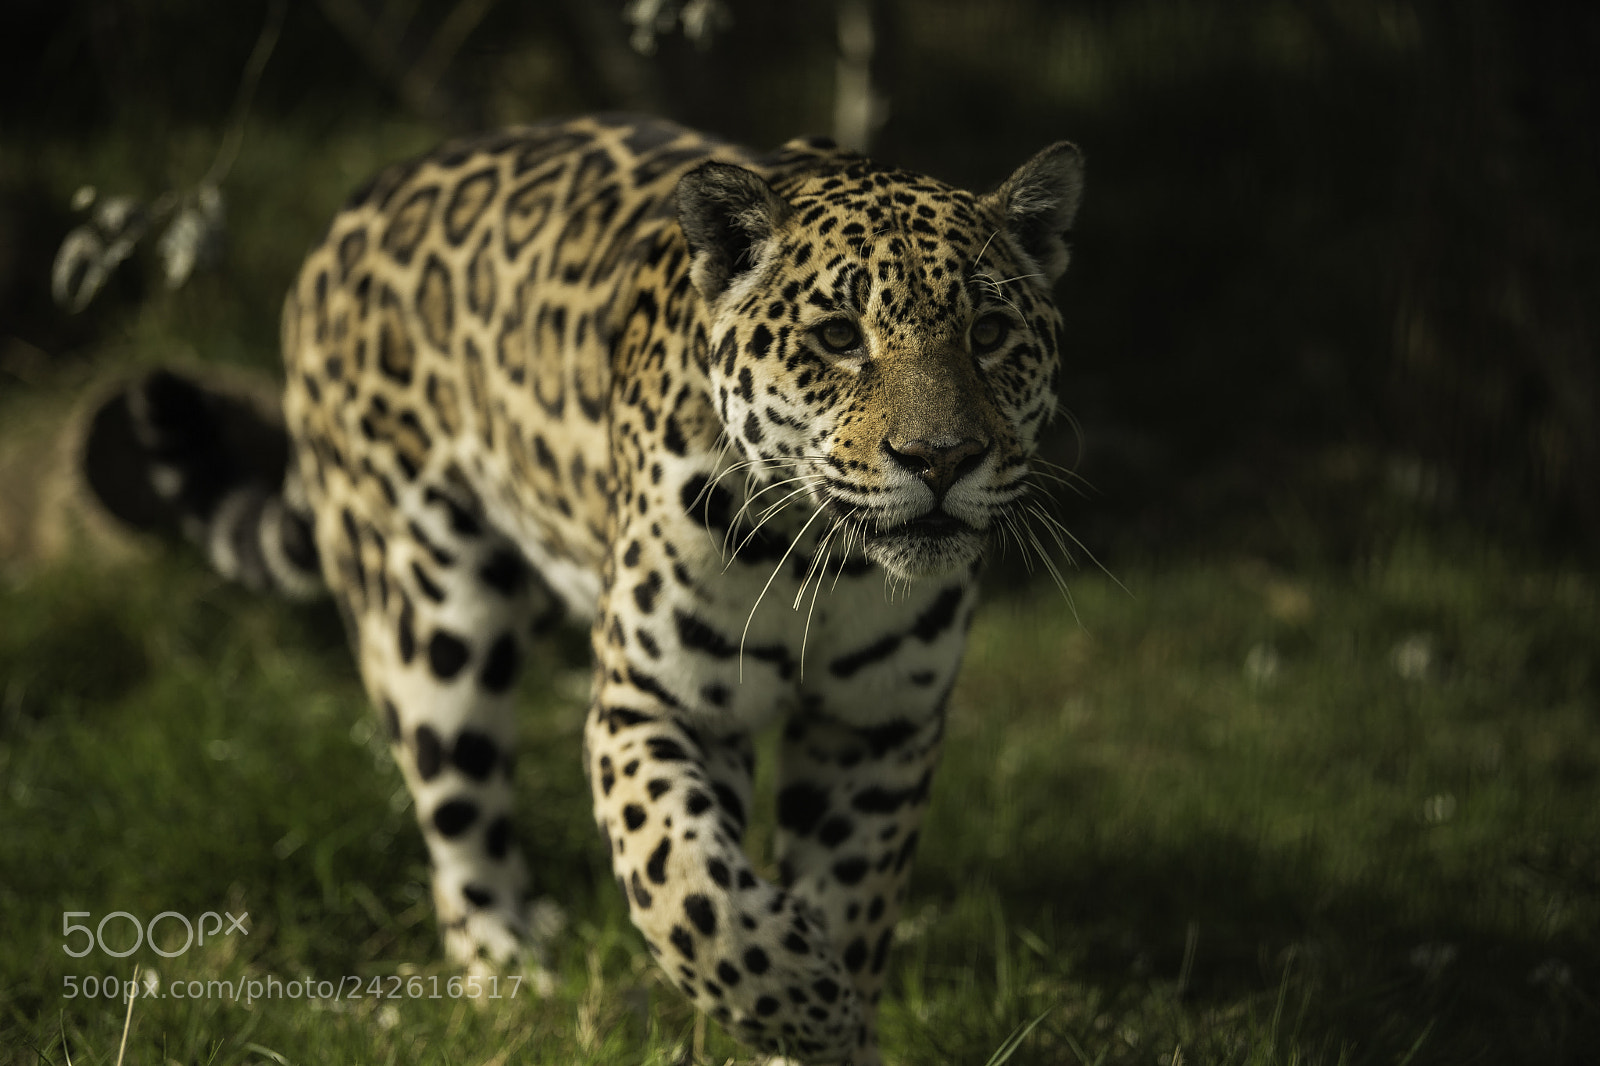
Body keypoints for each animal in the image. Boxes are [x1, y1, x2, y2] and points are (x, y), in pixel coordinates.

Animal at [111, 113, 1084, 1065]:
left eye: (989, 334)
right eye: (839, 337)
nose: (941, 460)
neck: (826, 559)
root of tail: (351, 213)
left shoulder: (877, 727)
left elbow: (852, 893)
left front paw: (828, 1017)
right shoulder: (656, 701)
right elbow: (692, 892)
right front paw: (807, 998)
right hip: (427, 615)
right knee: (457, 820)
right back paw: (509, 970)